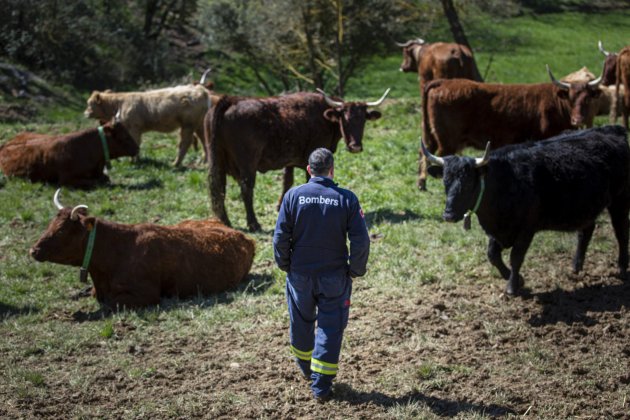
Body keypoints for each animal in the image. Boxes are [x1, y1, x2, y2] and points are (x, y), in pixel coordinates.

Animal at [0, 111, 138, 187]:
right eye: (124, 136)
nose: (137, 148)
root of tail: (7, 144)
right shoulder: (65, 179)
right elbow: (95, 182)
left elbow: (105, 179)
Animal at [29, 189, 256, 308]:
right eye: (50, 225)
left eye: (61, 231)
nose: (33, 250)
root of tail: (243, 236)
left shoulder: (147, 295)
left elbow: (112, 301)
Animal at [206, 88, 390, 230]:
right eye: (344, 118)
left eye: (363, 120)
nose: (355, 146)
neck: (323, 116)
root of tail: (231, 100)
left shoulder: (290, 161)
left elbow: (287, 181)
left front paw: (280, 205)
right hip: (247, 164)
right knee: (246, 189)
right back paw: (253, 224)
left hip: (217, 160)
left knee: (219, 188)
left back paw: (225, 221)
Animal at [420, 65, 608, 189]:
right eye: (571, 98)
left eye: (587, 99)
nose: (578, 119)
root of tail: (443, 82)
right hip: (447, 141)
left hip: (432, 135)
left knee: (425, 153)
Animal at [424, 124, 630, 296]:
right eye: (445, 182)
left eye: (467, 183)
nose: (448, 215)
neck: (506, 181)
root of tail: (612, 129)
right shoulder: (497, 230)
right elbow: (492, 255)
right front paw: (516, 279)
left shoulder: (526, 230)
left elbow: (516, 257)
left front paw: (512, 287)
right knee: (586, 231)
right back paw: (576, 267)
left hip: (619, 200)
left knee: (621, 232)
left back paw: (622, 267)